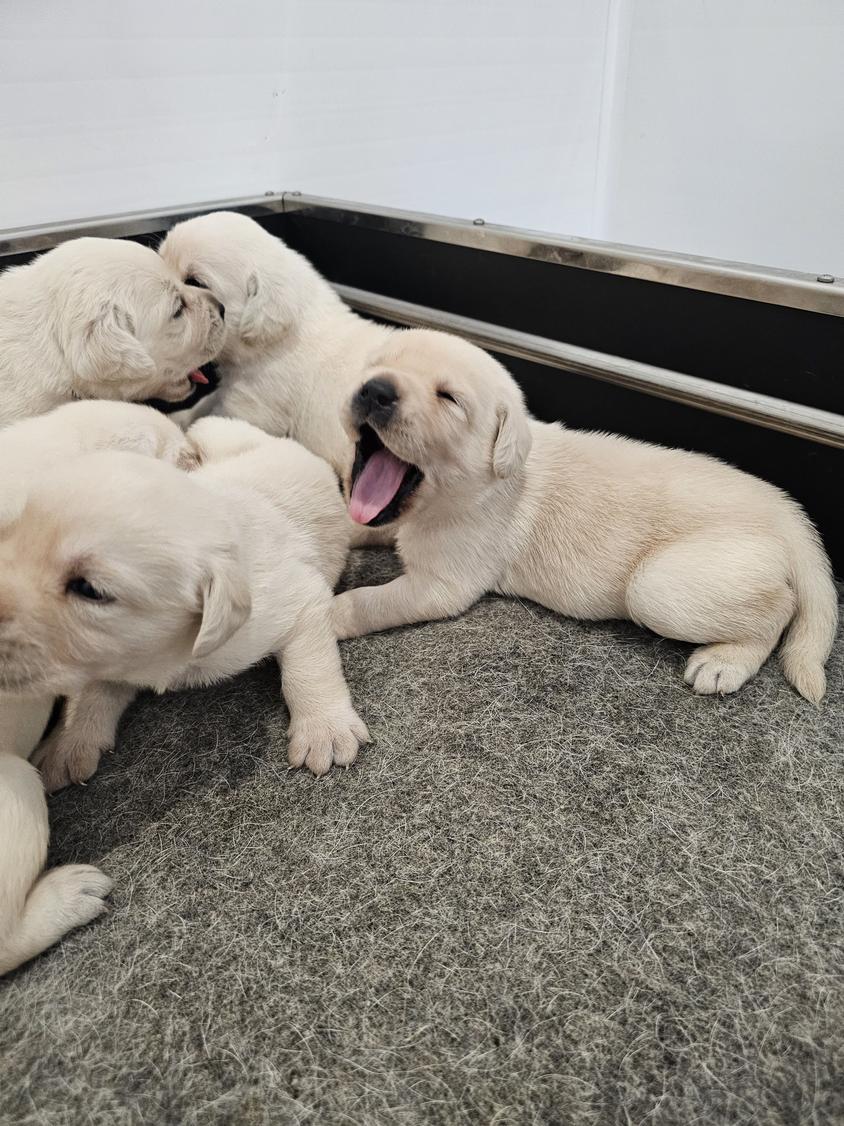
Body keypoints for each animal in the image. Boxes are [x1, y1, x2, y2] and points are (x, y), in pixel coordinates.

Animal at [333, 328, 841, 702]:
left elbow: (371, 601)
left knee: (779, 609)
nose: (376, 390)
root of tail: (789, 515)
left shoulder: (441, 583)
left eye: (449, 398)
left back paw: (724, 663)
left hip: (663, 586)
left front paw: (328, 614)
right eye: (378, 363)